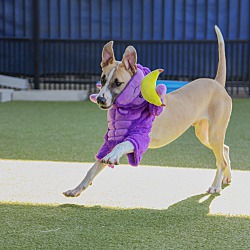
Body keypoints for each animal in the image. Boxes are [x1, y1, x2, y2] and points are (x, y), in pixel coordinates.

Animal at [63, 25, 231, 197]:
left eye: (118, 83)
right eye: (102, 80)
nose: (100, 100)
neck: (127, 109)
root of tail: (217, 83)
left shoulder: (139, 138)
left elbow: (122, 145)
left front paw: (113, 155)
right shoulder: (112, 140)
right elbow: (92, 168)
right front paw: (77, 189)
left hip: (214, 133)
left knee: (221, 160)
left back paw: (216, 186)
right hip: (204, 134)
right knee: (225, 150)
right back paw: (226, 178)